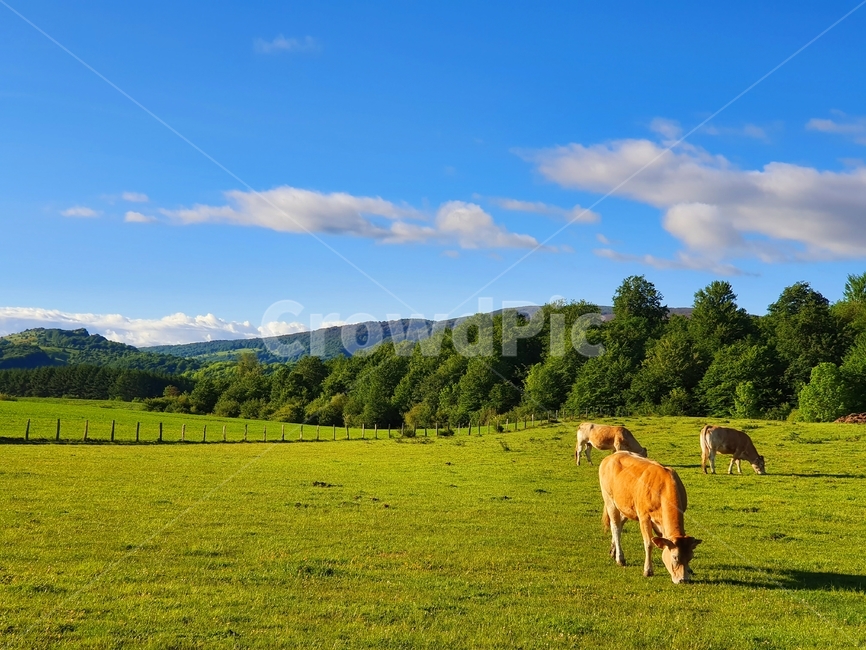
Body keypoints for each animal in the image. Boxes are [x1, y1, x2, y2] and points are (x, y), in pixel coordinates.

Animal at [599, 451, 701, 583]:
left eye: (690, 557)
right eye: (675, 557)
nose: (684, 580)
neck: (662, 489)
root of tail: (611, 456)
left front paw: (689, 570)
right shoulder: (644, 517)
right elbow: (648, 543)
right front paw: (648, 570)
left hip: (626, 506)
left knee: (620, 525)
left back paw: (613, 550)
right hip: (610, 500)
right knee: (615, 527)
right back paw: (620, 558)